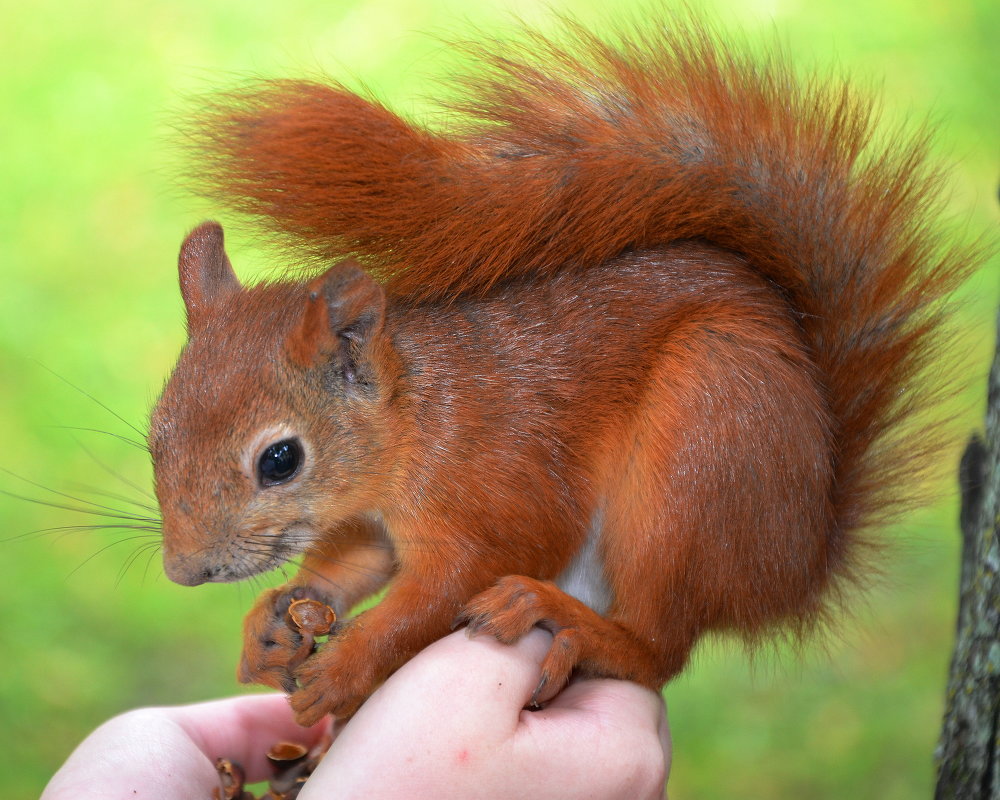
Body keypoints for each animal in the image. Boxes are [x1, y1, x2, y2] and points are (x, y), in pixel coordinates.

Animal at [148, 18, 976, 720]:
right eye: (155, 433)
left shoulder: (499, 491)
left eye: (280, 460)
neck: (416, 415)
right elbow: (354, 560)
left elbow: (453, 583)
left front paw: (350, 667)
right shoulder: (375, 521)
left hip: (700, 452)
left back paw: (573, 622)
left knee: (660, 648)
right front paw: (273, 624)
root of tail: (799, 561)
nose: (182, 573)